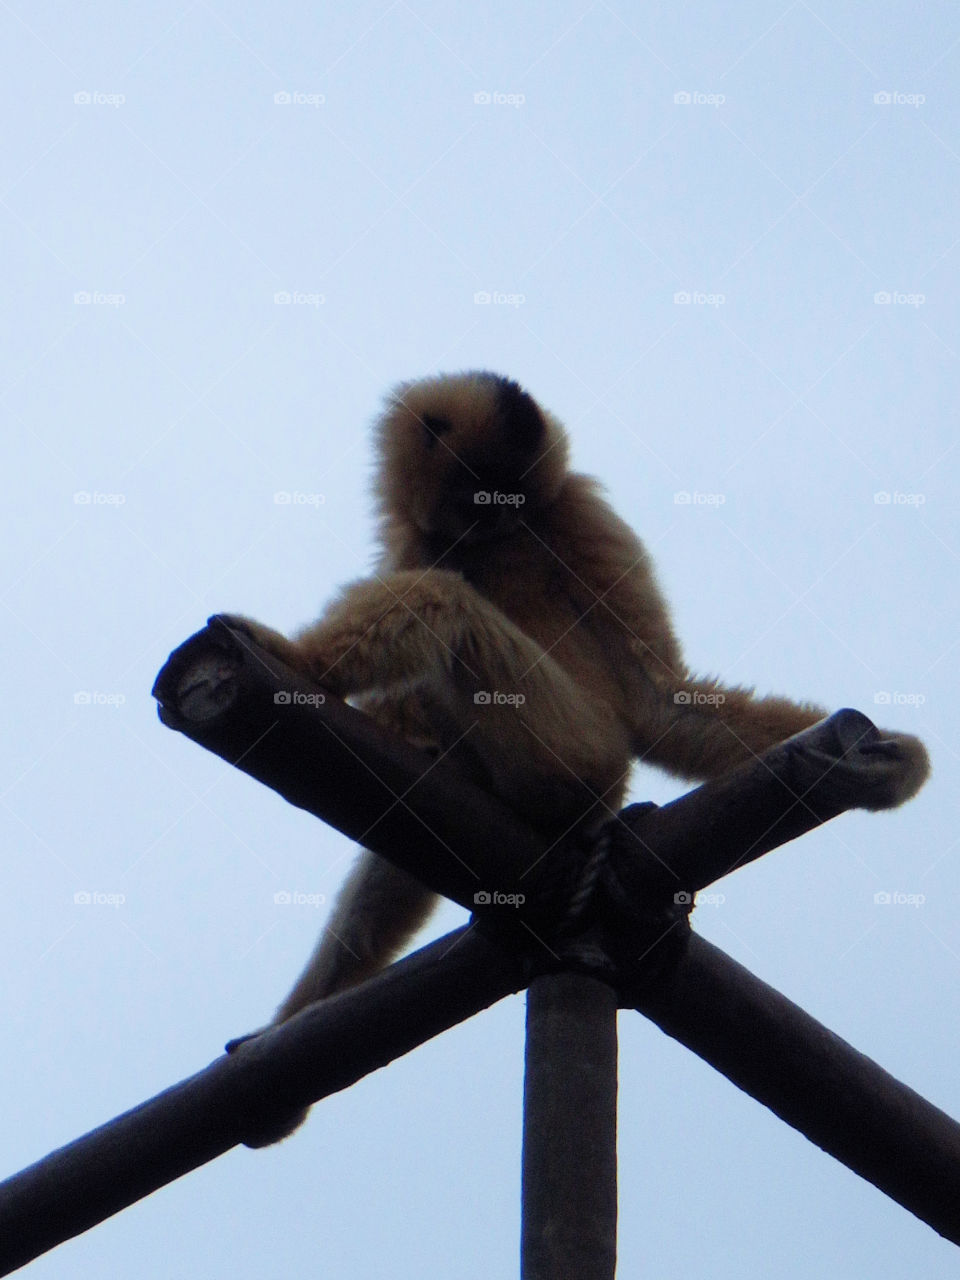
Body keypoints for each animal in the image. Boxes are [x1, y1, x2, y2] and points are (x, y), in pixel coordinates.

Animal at [222, 370, 929, 1141]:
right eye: (481, 495)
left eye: (506, 500)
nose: (492, 524)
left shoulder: (577, 508)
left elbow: (658, 696)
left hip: (571, 748)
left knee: (446, 603)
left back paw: (304, 662)